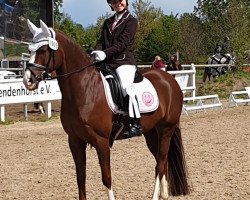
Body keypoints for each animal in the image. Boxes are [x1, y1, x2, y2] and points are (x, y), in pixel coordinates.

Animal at [23, 20, 188, 200]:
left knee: (160, 163)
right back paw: (164, 194)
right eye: (30, 50)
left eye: (44, 50)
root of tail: (170, 80)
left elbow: (106, 177)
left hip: (166, 129)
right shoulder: (74, 140)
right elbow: (80, 176)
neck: (84, 90)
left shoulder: (101, 141)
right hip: (152, 131)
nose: (28, 80)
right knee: (160, 161)